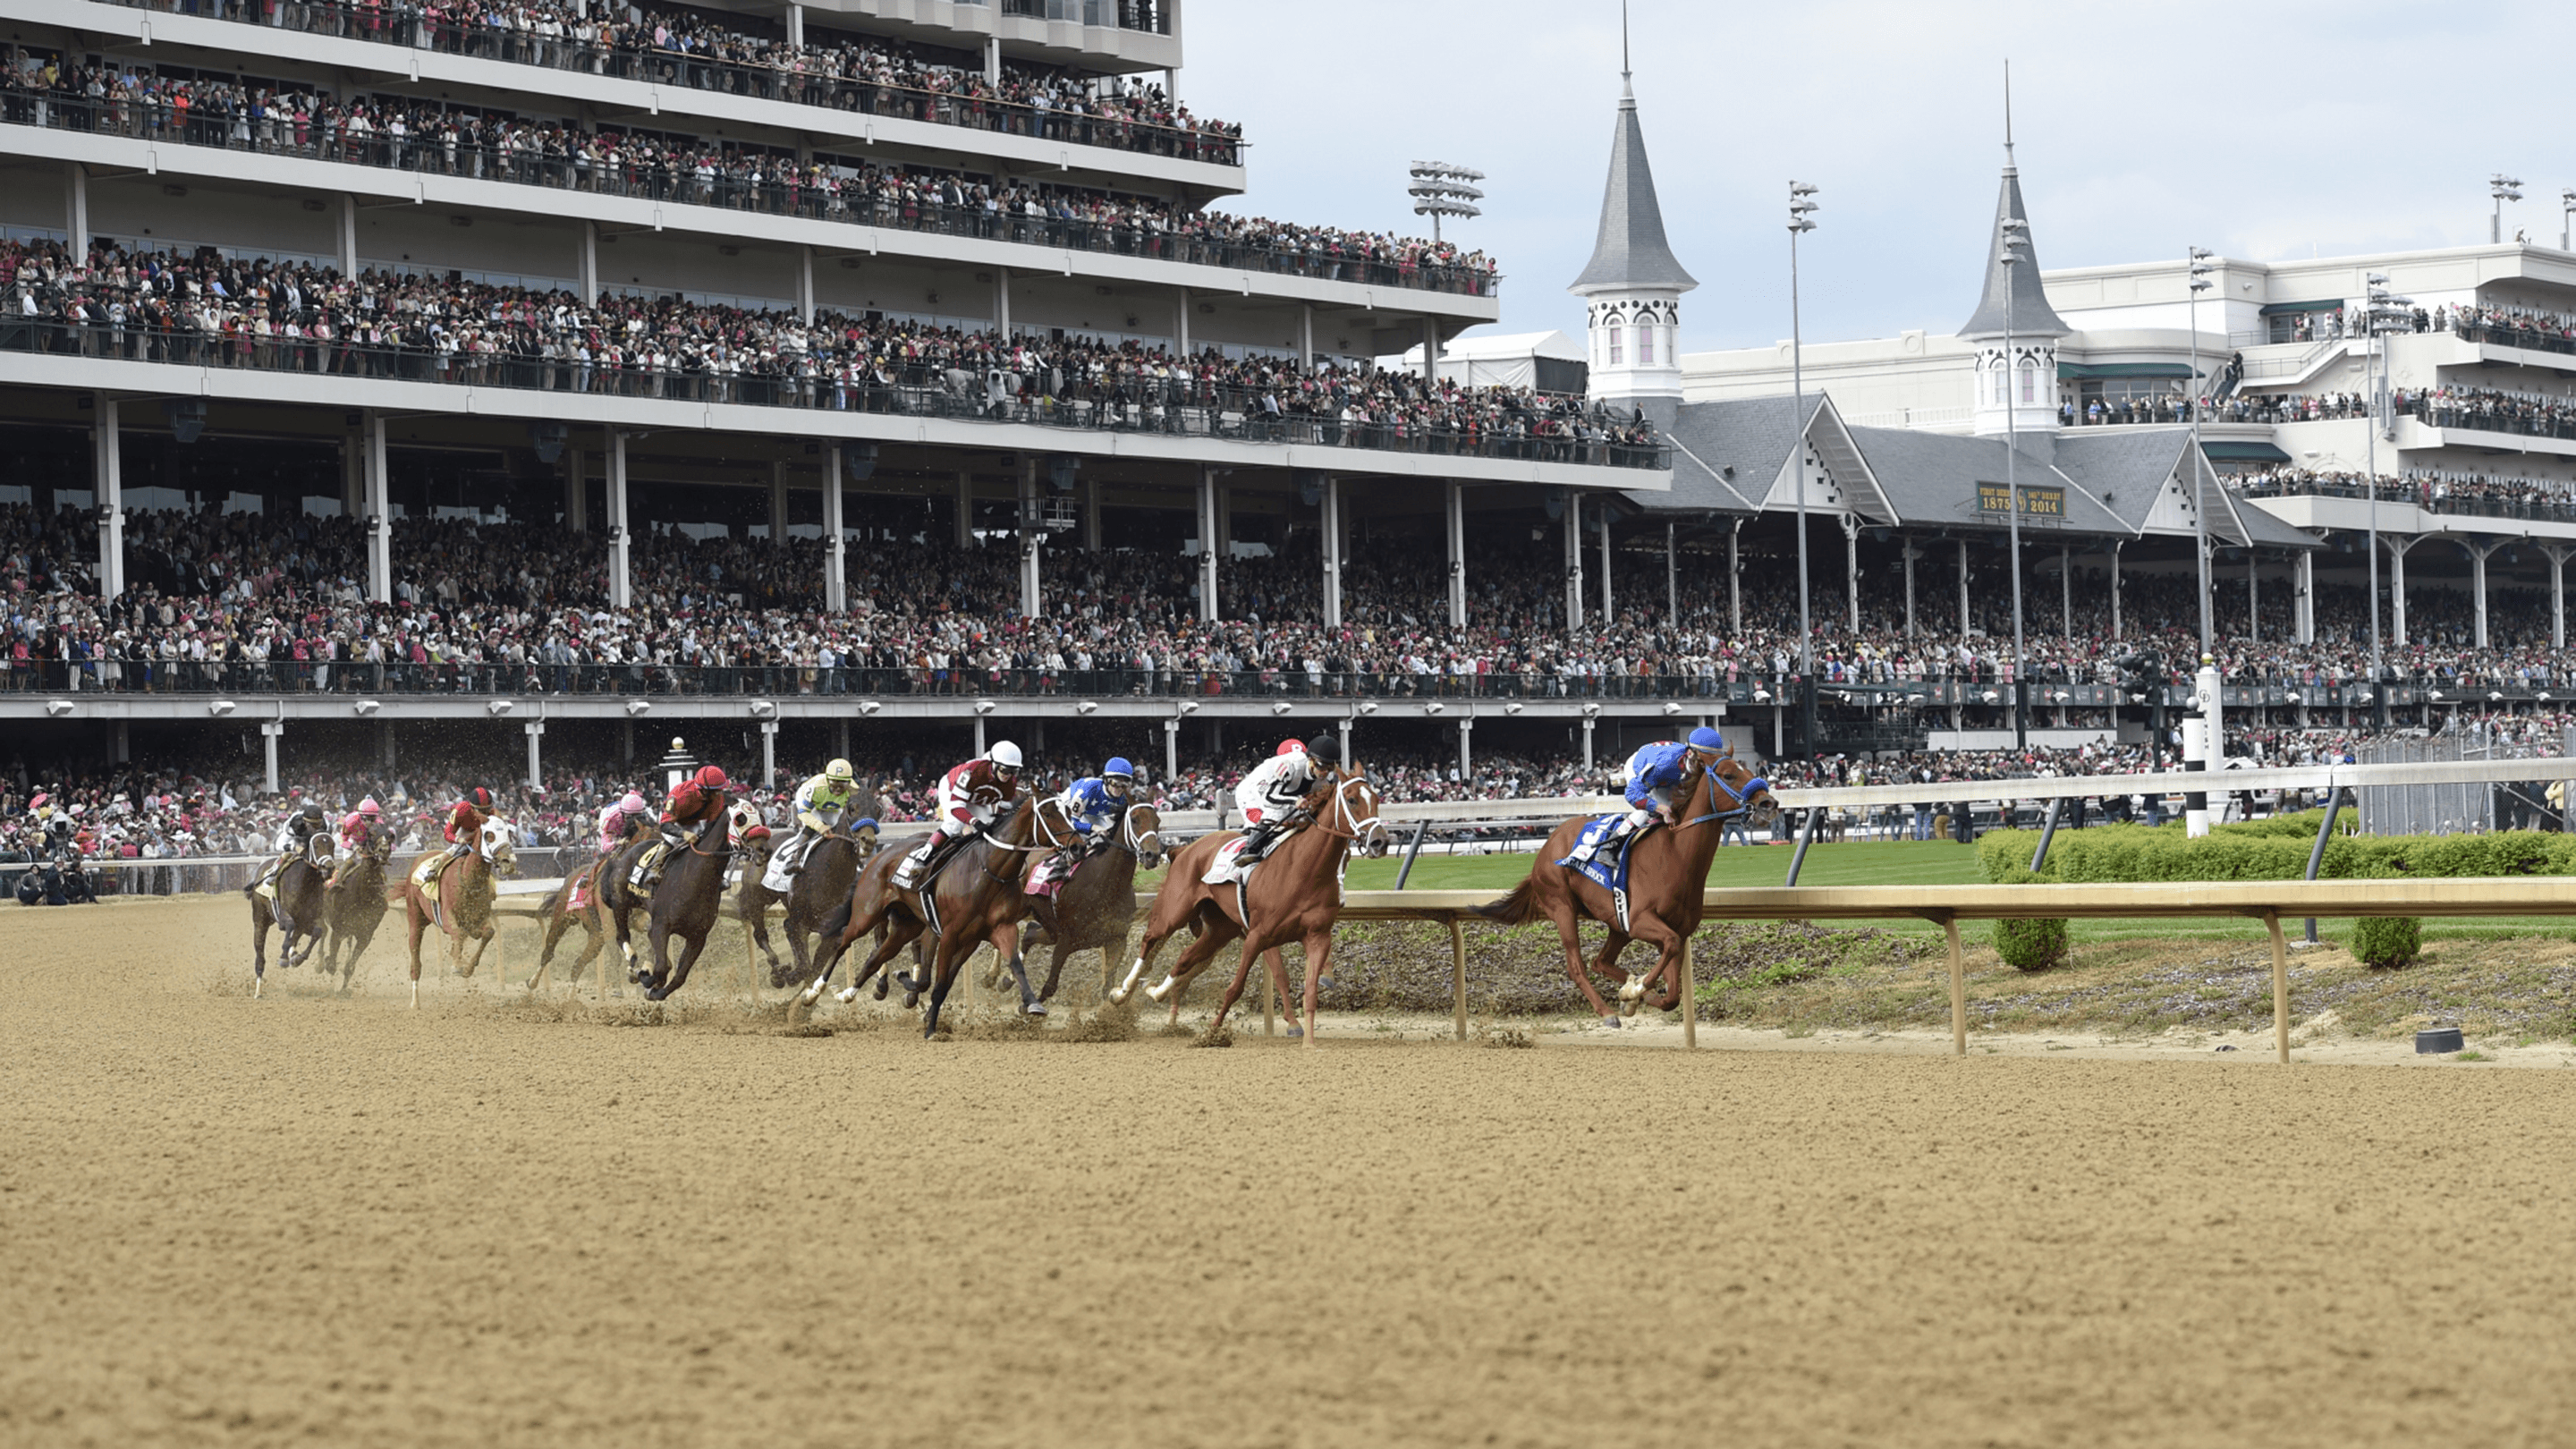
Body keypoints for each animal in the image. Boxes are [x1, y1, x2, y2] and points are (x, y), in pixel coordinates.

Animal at [1113, 763, 1391, 1041]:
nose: (1380, 841)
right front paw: (1212, 1032)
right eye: (1352, 800)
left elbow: (1310, 990)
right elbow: (1237, 987)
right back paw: (1121, 992)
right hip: (1175, 911)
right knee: (1150, 940)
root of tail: (1183, 850)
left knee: (1185, 958)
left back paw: (1155, 991)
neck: (1305, 869)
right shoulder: (1258, 934)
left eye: (1377, 799)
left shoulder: (1317, 935)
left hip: (1219, 929)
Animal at [1473, 758, 1772, 1015]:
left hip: (1617, 924)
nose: (1769, 803)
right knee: (1577, 965)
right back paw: (1606, 1012)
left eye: (1748, 769)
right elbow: (1670, 947)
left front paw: (1634, 993)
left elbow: (1672, 995)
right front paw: (1637, 988)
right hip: (1562, 907)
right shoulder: (1641, 920)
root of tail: (1549, 843)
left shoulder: (1676, 928)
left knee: (1601, 961)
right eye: (1729, 775)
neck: (1676, 854)